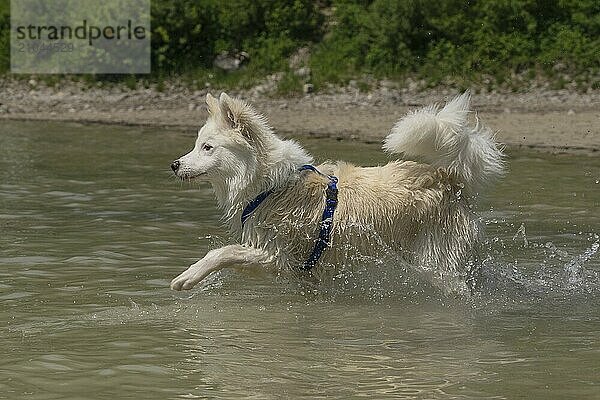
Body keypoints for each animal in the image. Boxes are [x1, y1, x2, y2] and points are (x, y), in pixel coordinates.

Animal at [171, 93, 504, 294]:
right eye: (196, 145)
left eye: (207, 147)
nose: (174, 165)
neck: (269, 185)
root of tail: (450, 180)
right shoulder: (300, 272)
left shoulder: (278, 255)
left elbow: (222, 252)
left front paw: (188, 276)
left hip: (437, 263)